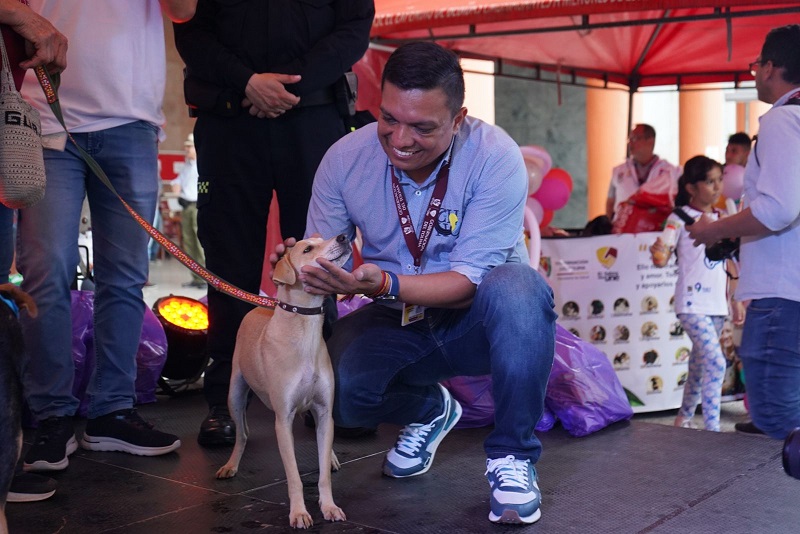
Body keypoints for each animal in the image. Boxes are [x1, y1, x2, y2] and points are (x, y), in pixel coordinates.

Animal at [219, 236, 354, 532]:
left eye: (323, 237)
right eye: (307, 249)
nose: (343, 237)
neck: (305, 329)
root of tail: (261, 305)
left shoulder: (324, 410)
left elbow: (323, 474)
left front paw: (329, 506)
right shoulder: (283, 420)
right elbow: (293, 475)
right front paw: (299, 513)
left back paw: (331, 457)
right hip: (235, 393)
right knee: (242, 433)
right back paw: (230, 465)